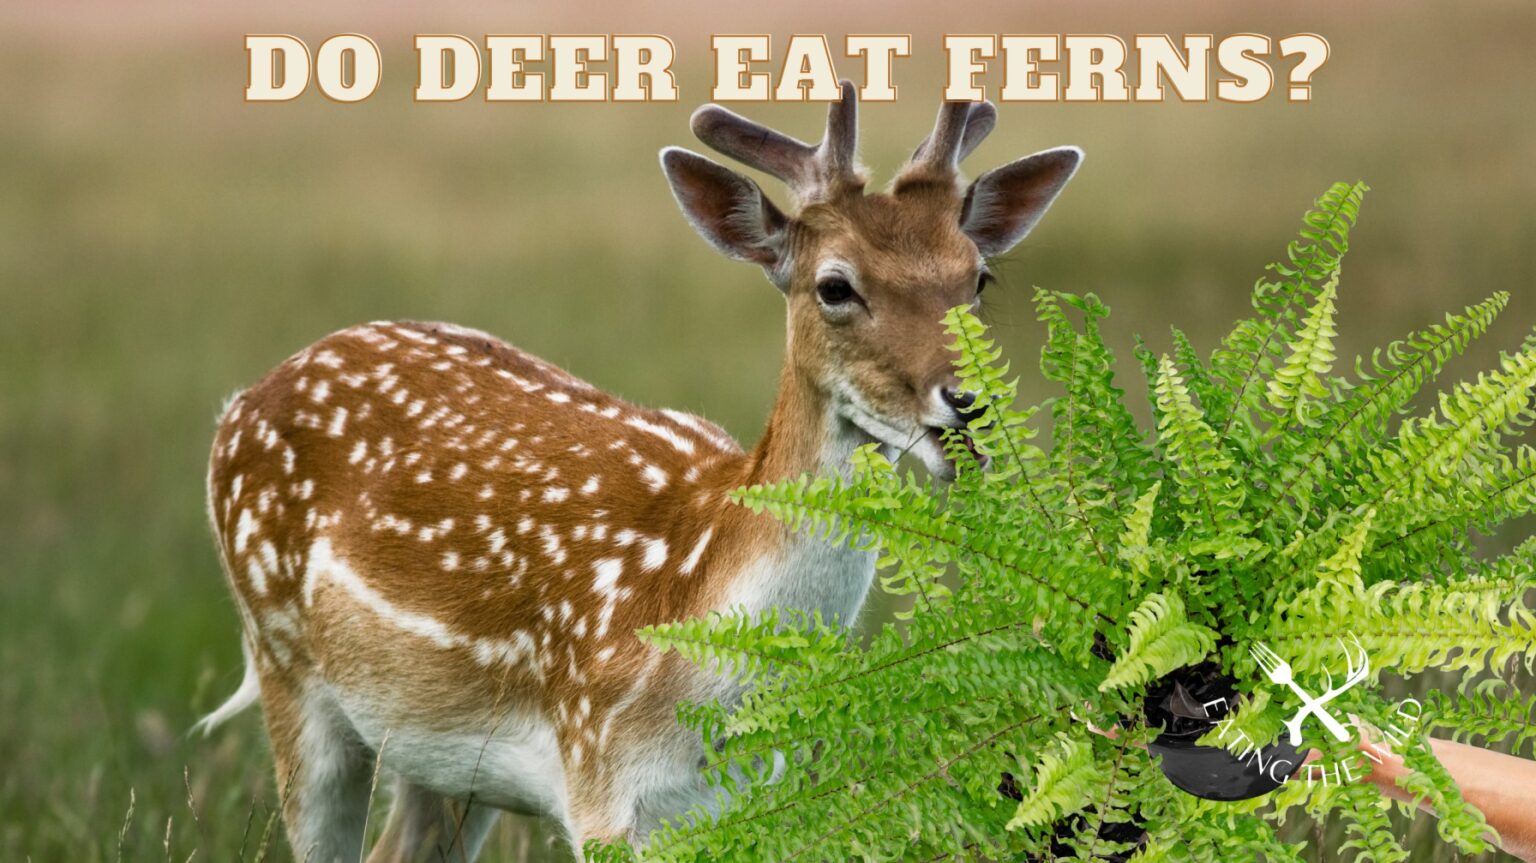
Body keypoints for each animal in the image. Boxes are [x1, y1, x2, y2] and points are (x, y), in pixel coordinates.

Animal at [197, 82, 1081, 862]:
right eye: (835, 285)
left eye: (978, 277)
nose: (967, 401)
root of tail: (240, 402)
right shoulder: (599, 772)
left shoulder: (747, 796)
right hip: (284, 661)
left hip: (444, 754)